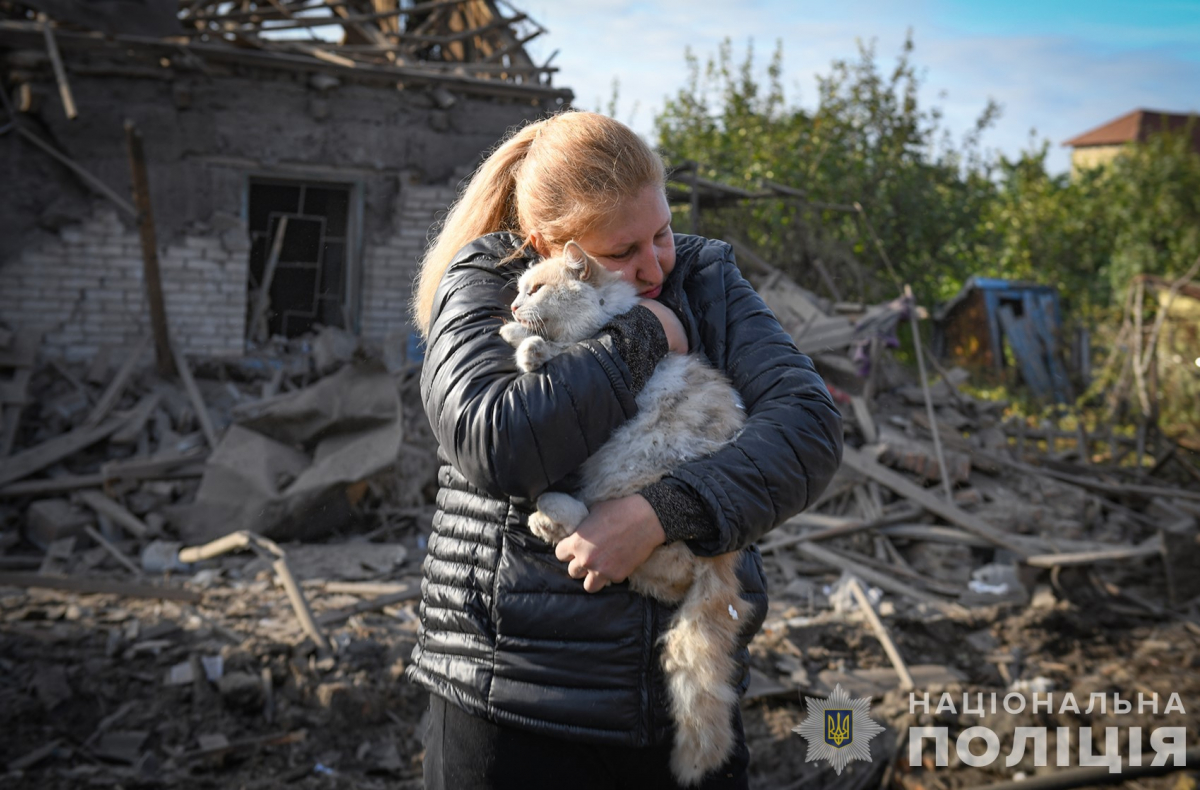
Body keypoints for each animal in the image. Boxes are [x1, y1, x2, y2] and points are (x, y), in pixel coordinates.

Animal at [499, 242, 748, 782]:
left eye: (537, 288)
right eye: (520, 289)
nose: (511, 305)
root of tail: (723, 559)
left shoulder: (598, 348)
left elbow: (566, 350)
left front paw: (528, 346)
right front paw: (515, 332)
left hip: (634, 485)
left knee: (646, 562)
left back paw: (549, 512)